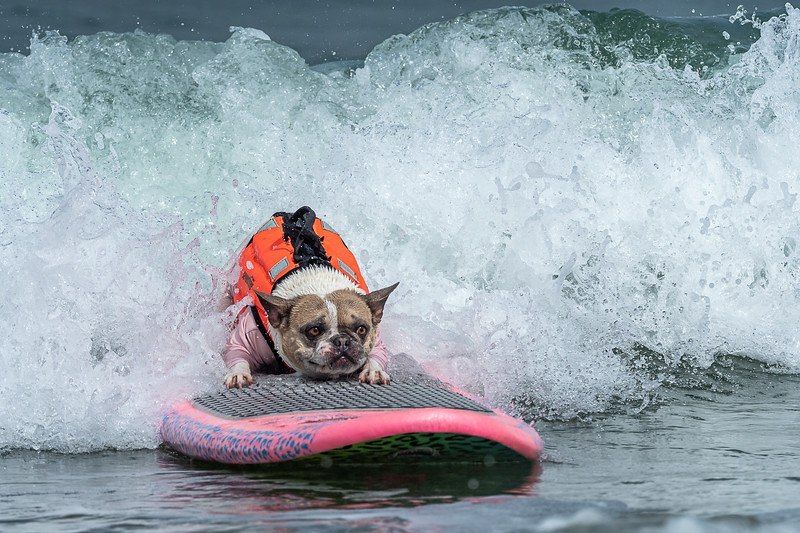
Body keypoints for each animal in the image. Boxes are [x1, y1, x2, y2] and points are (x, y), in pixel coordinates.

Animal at [222, 207, 396, 386]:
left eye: (362, 329)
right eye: (314, 330)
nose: (342, 340)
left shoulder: (376, 337)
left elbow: (376, 353)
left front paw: (373, 370)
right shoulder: (249, 334)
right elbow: (237, 352)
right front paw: (238, 373)